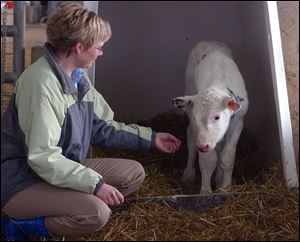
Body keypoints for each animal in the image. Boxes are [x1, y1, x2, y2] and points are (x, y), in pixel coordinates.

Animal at [173, 41, 248, 193]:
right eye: (195, 117)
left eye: (217, 116)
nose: (203, 146)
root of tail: (209, 41)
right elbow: (207, 161)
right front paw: (206, 192)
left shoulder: (238, 121)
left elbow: (227, 157)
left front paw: (225, 187)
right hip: (189, 86)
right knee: (191, 136)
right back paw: (188, 174)